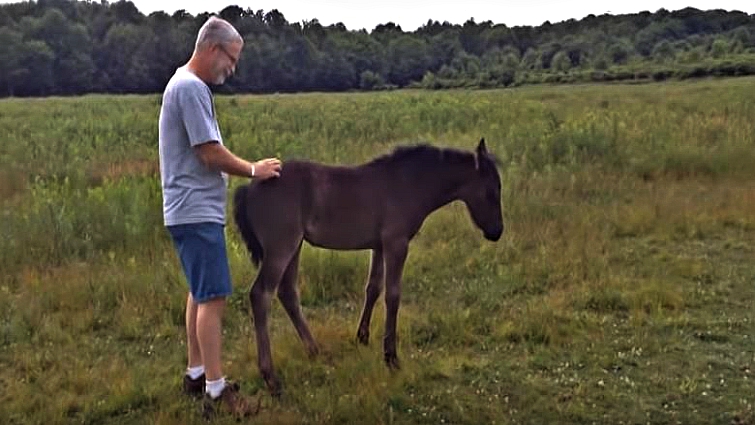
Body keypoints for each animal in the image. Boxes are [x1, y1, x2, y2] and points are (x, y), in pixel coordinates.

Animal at [233, 138, 504, 395]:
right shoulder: (396, 243)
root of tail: (249, 187)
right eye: (491, 191)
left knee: (287, 292)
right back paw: (271, 378)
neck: (409, 183)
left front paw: (362, 338)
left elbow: (373, 288)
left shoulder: (380, 246)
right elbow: (393, 295)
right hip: (281, 247)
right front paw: (391, 357)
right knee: (261, 295)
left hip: (294, 245)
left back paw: (314, 350)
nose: (497, 232)